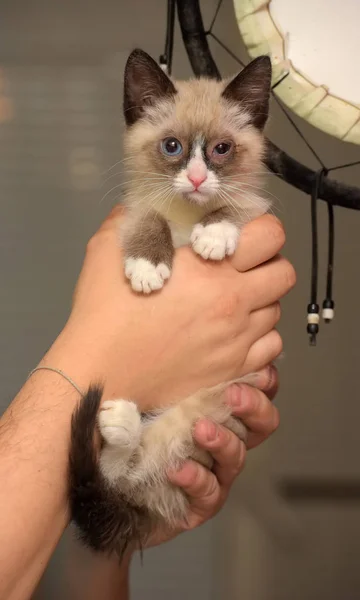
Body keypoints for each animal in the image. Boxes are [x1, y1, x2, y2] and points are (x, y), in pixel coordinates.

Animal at [69, 48, 272, 556]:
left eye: (221, 150)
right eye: (172, 147)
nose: (197, 179)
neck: (186, 215)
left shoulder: (257, 212)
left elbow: (231, 208)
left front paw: (213, 237)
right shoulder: (133, 209)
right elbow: (150, 218)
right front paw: (147, 268)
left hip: (200, 418)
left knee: (139, 471)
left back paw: (120, 422)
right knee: (124, 475)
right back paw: (119, 420)